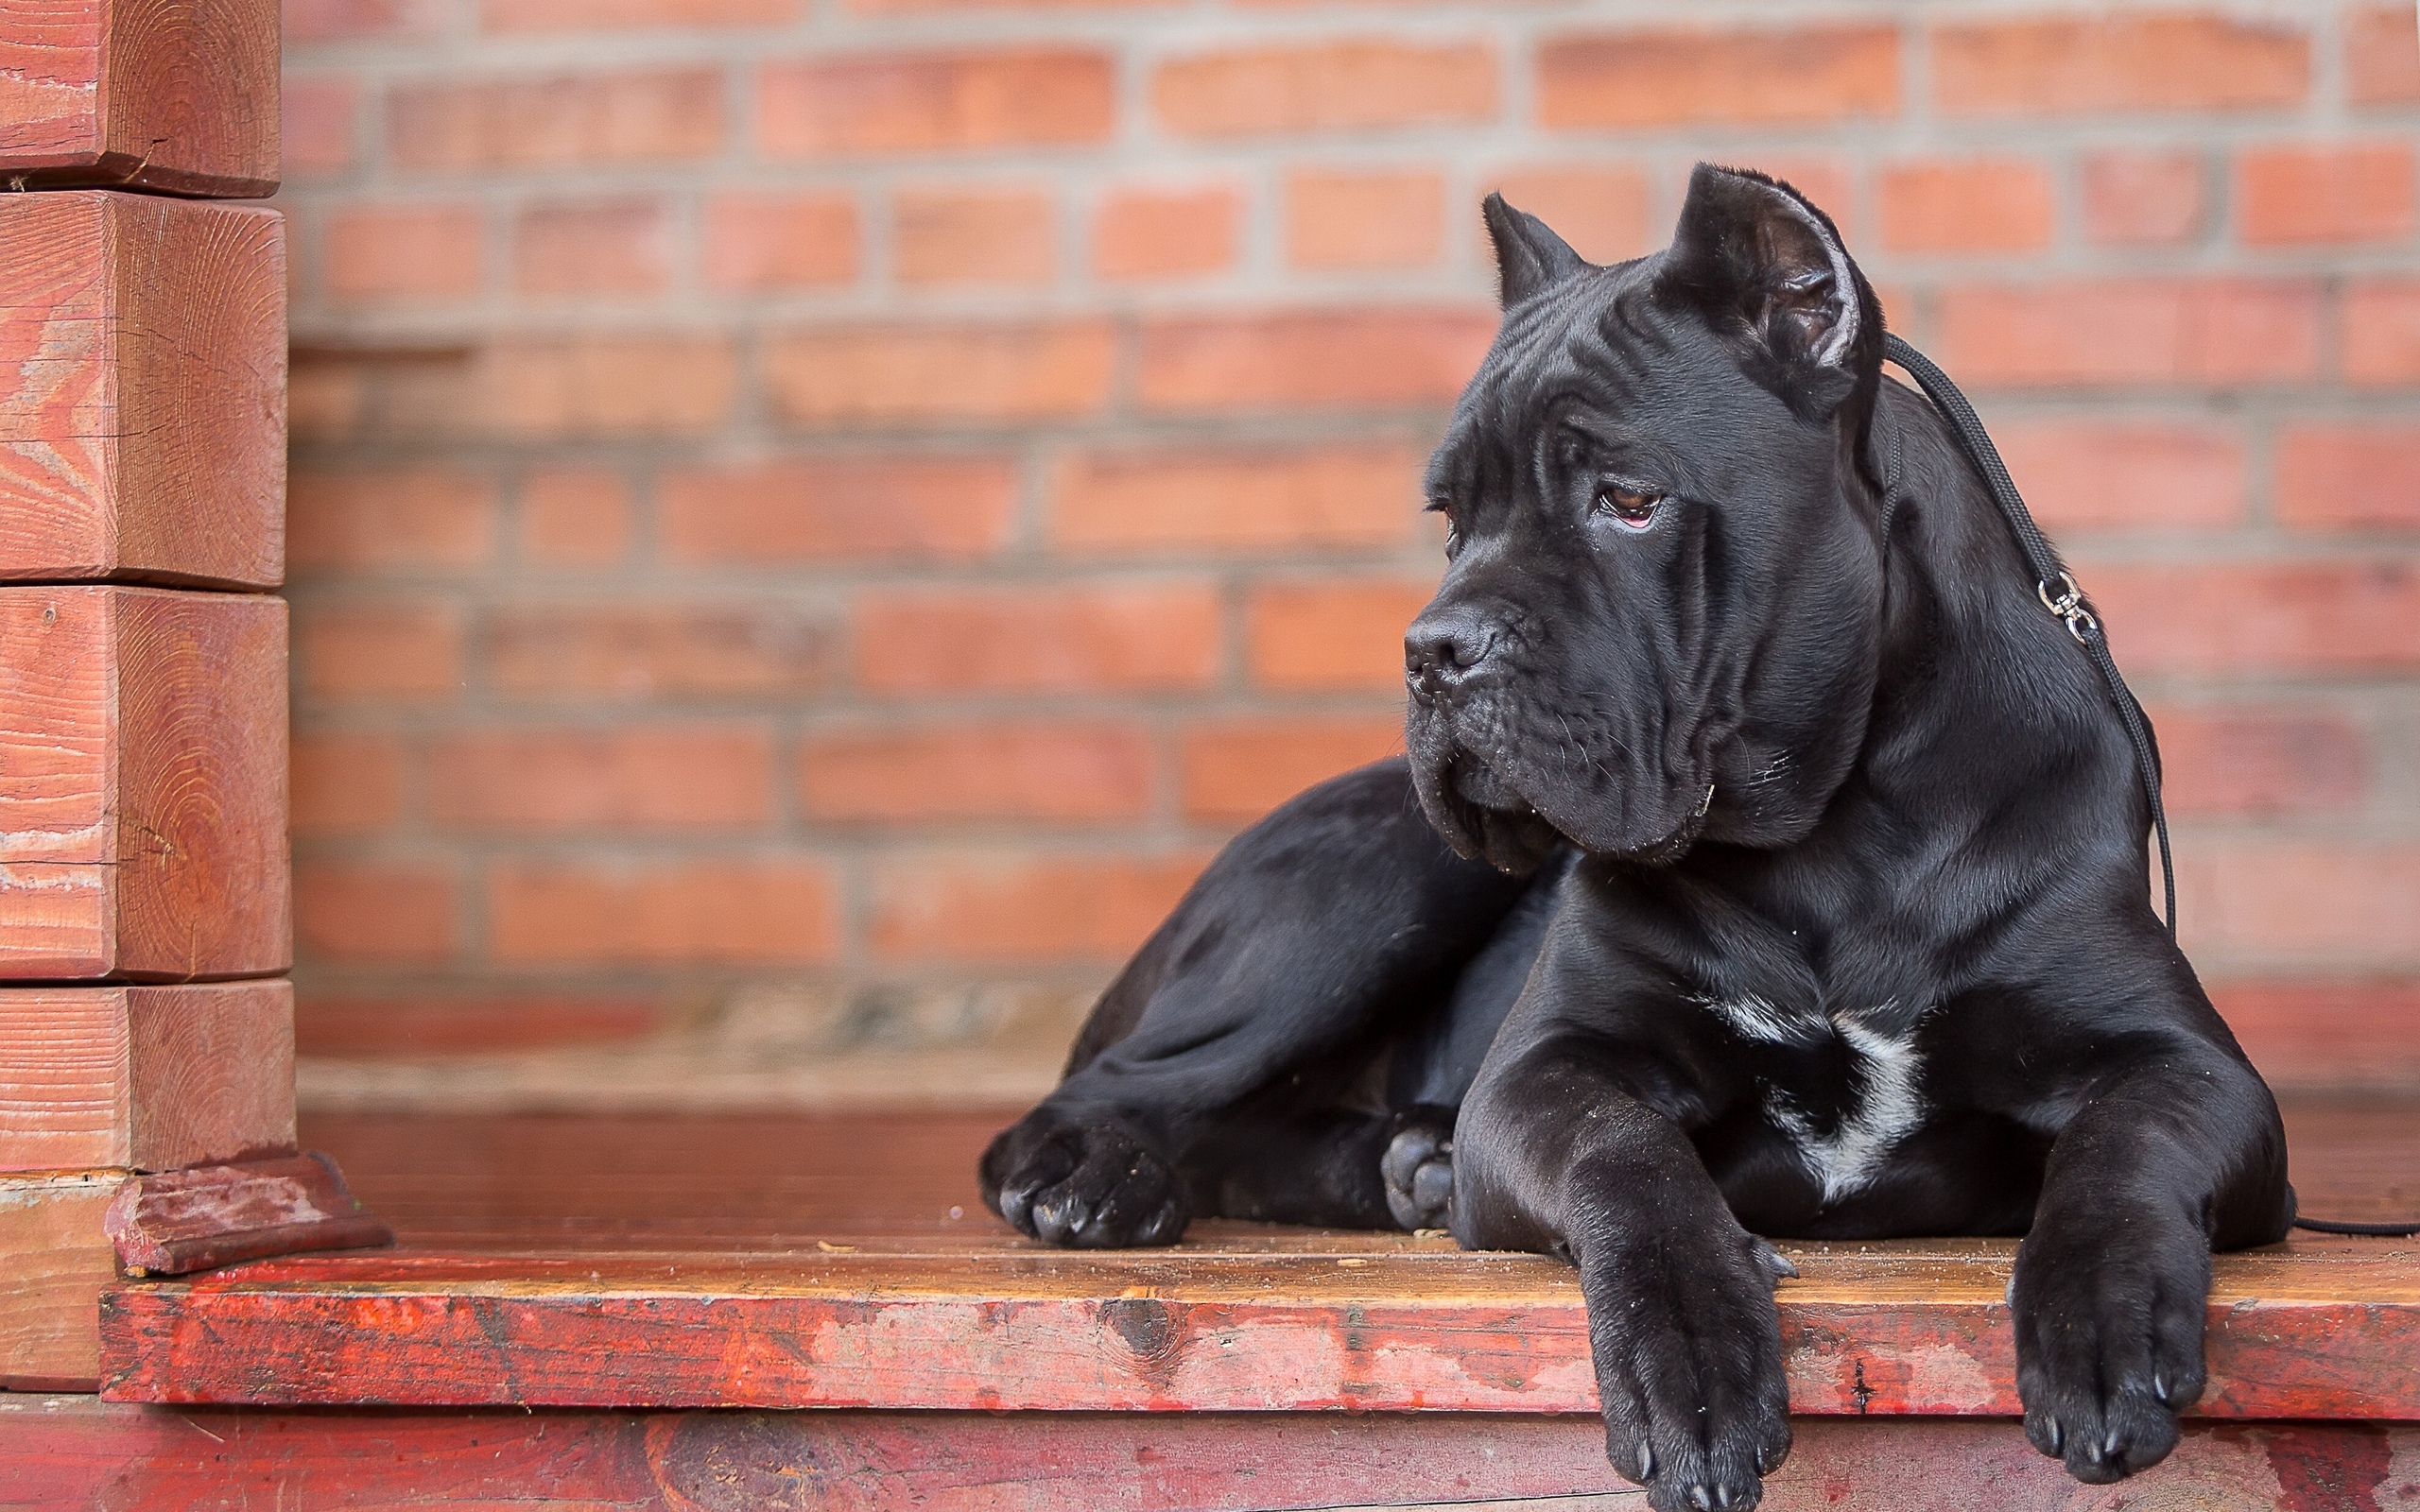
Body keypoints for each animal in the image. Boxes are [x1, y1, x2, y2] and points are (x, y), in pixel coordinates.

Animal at [977, 164, 2284, 1509]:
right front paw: (1692, 1360)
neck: (1833, 837)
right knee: (1108, 1091)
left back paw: (1404, 1163)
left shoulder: (2191, 1068)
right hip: (1374, 881)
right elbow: (1628, 1156)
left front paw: (2101, 1326)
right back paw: (1099, 1180)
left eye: (1629, 501)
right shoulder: (1544, 1068)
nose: (1433, 650)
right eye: (1453, 521)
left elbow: (2124, 1151)